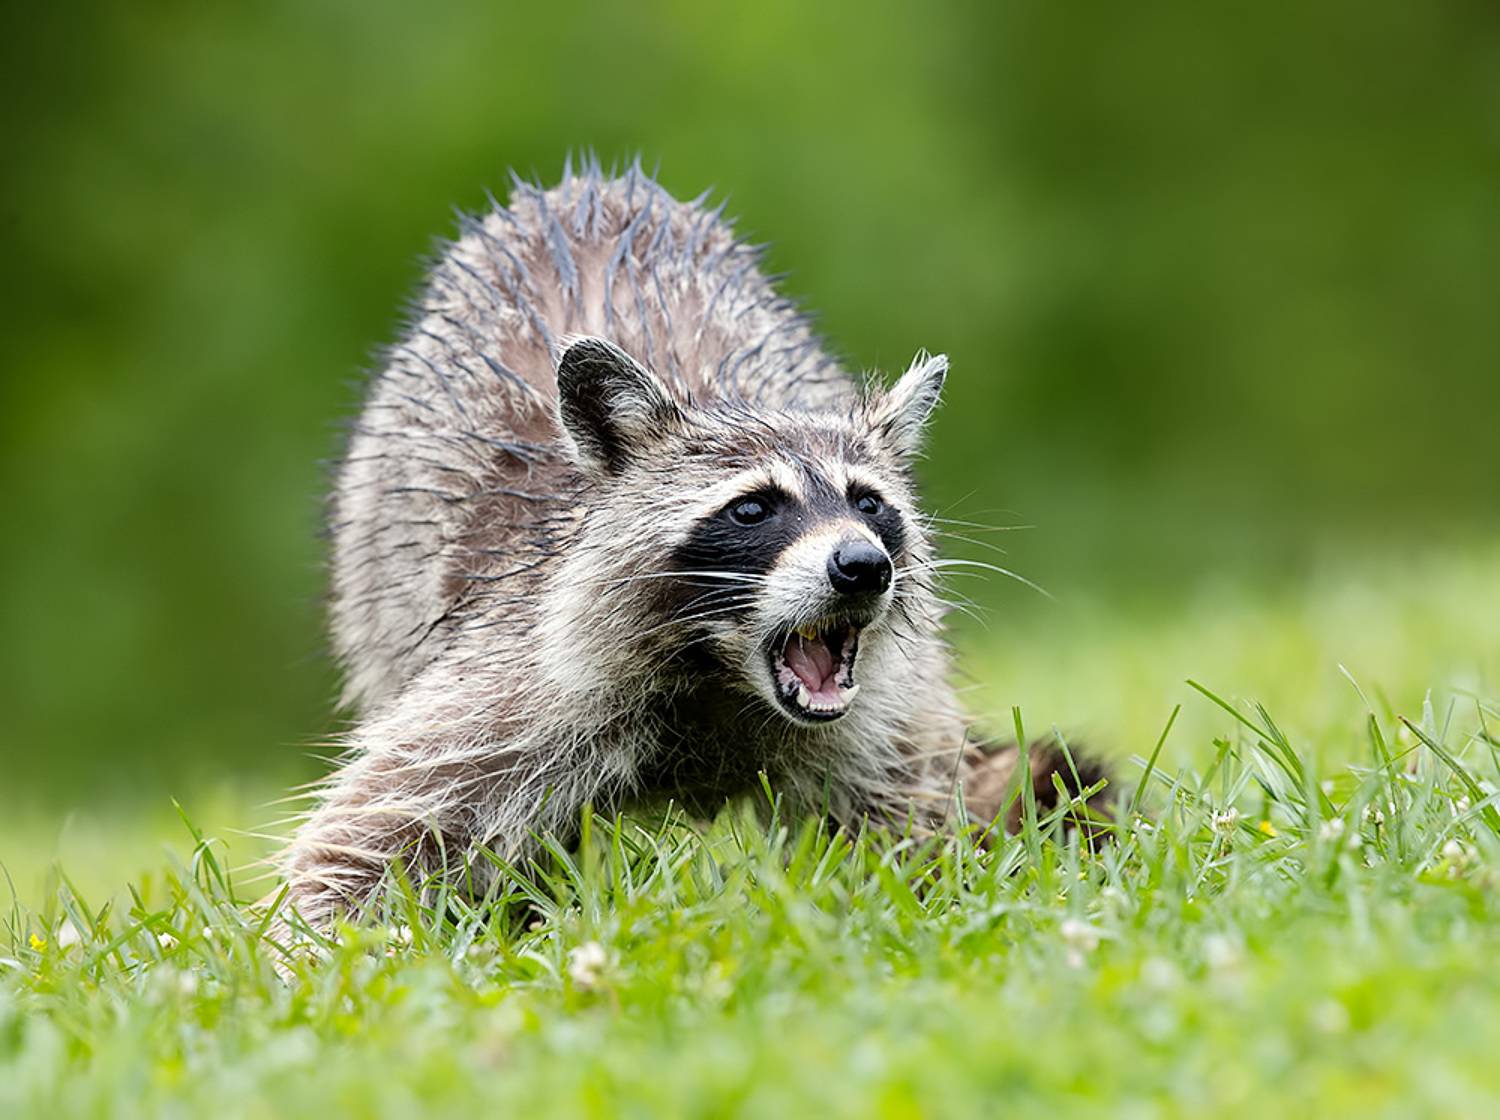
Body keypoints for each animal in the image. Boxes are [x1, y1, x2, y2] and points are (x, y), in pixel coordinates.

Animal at [281, 160, 1106, 929]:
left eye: (868, 503)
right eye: (753, 509)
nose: (863, 566)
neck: (720, 673)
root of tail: (591, 187)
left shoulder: (880, 719)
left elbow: (914, 821)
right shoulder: (522, 687)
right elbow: (366, 842)